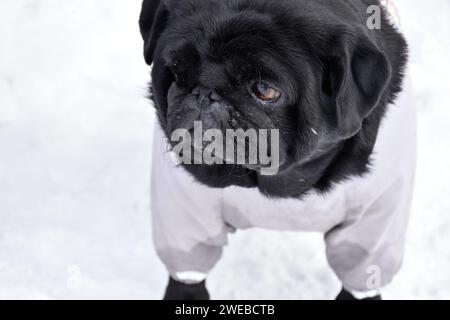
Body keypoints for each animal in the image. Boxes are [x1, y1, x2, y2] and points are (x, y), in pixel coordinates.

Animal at [139, 0, 410, 300]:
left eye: (265, 90)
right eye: (177, 71)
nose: (205, 93)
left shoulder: (372, 224)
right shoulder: (185, 214)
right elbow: (188, 273)